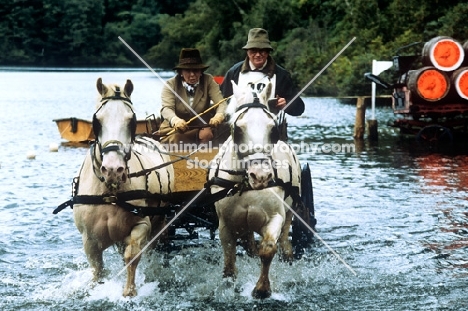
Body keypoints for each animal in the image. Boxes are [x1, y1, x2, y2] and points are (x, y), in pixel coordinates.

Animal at [72, 78, 175, 298]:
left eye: (132, 120)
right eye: (97, 121)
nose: (113, 169)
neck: (109, 191)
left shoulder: (142, 225)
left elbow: (132, 255)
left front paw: (130, 291)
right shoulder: (89, 239)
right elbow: (98, 268)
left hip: (159, 221)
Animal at [207, 81, 302, 300]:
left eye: (273, 128)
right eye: (237, 129)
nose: (261, 175)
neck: (247, 184)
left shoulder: (275, 216)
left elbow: (267, 250)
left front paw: (262, 289)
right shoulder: (225, 224)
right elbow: (229, 260)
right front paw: (229, 286)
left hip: (291, 211)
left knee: (284, 239)